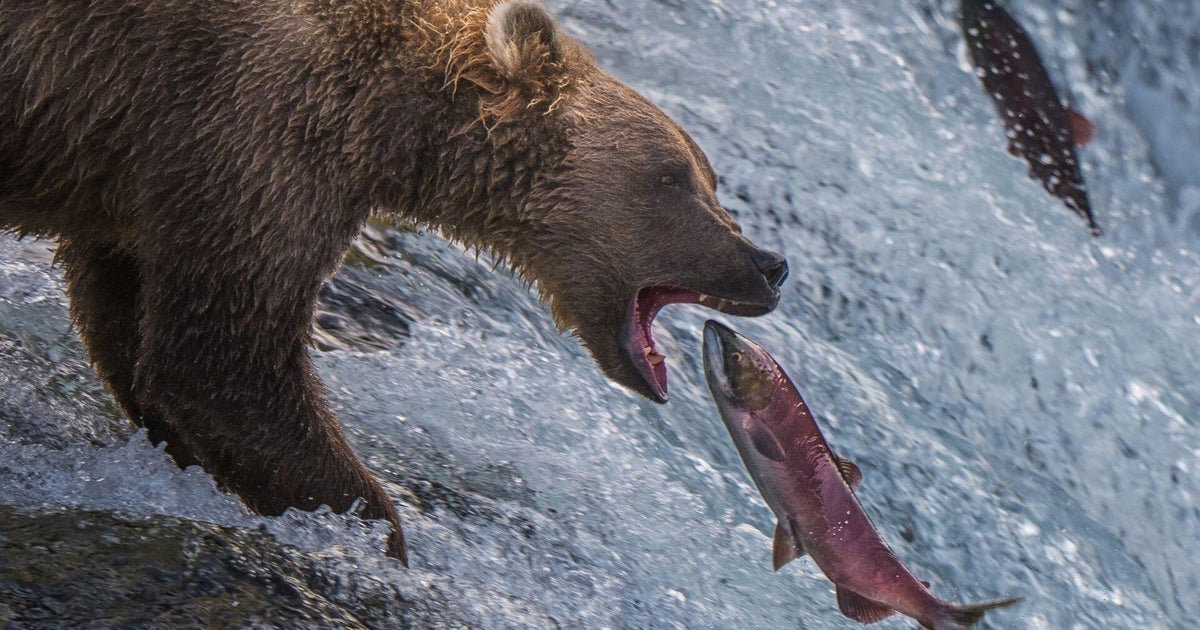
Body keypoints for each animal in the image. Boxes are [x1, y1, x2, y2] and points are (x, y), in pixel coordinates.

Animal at [0, 0, 788, 564]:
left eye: (708, 177)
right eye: (675, 177)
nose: (770, 264)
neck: (389, 119)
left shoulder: (147, 176)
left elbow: (134, 328)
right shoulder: (251, 131)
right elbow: (226, 365)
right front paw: (379, 535)